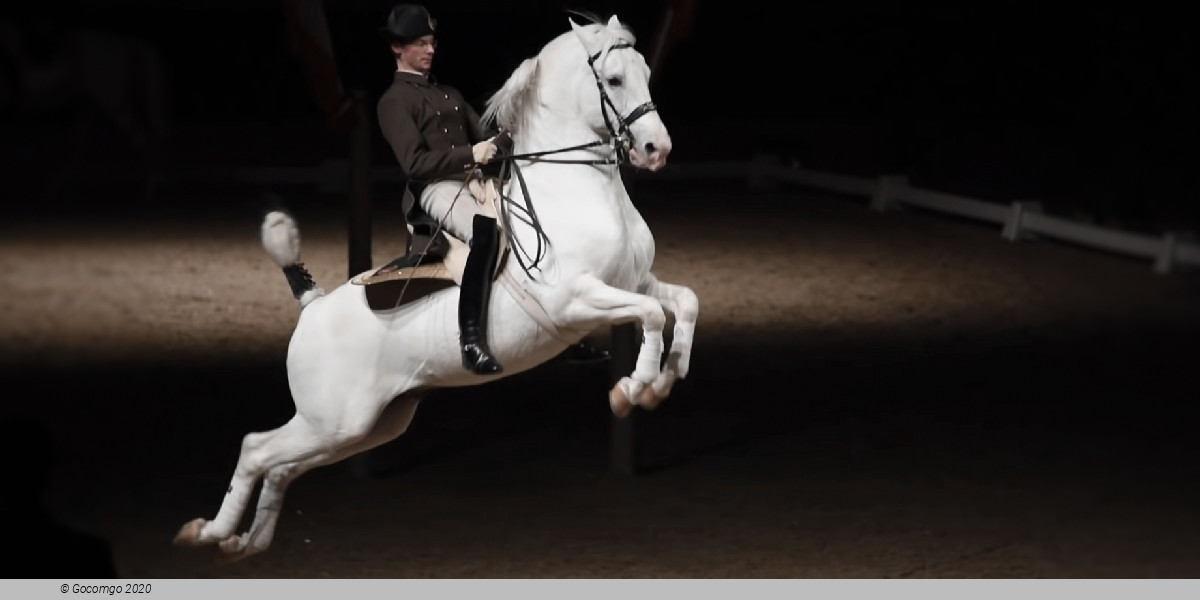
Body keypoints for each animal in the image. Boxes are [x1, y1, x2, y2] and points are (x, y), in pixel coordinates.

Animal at [174, 15, 700, 566]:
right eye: (614, 80)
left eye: (646, 72)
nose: (656, 150)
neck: (572, 192)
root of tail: (312, 309)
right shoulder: (576, 299)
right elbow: (651, 315)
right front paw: (633, 389)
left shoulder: (632, 282)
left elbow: (682, 304)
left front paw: (664, 380)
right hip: (333, 419)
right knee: (256, 448)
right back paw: (208, 532)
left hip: (362, 427)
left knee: (279, 466)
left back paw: (242, 542)